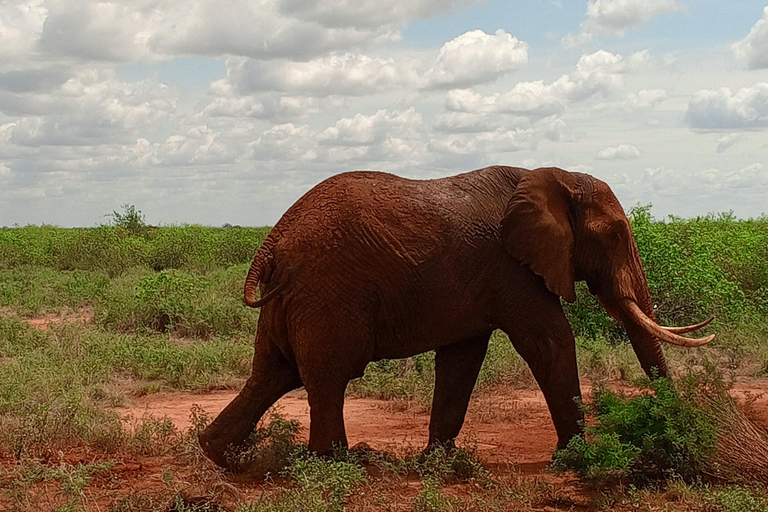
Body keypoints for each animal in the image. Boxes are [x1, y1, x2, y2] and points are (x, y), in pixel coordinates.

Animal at [200, 165, 712, 468]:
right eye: (617, 234)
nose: (677, 431)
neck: (555, 175)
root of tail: (272, 240)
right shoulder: (511, 267)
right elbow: (549, 342)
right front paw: (574, 460)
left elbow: (462, 359)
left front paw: (439, 464)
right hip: (327, 295)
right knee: (327, 376)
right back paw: (341, 464)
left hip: (293, 298)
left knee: (273, 373)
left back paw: (221, 456)